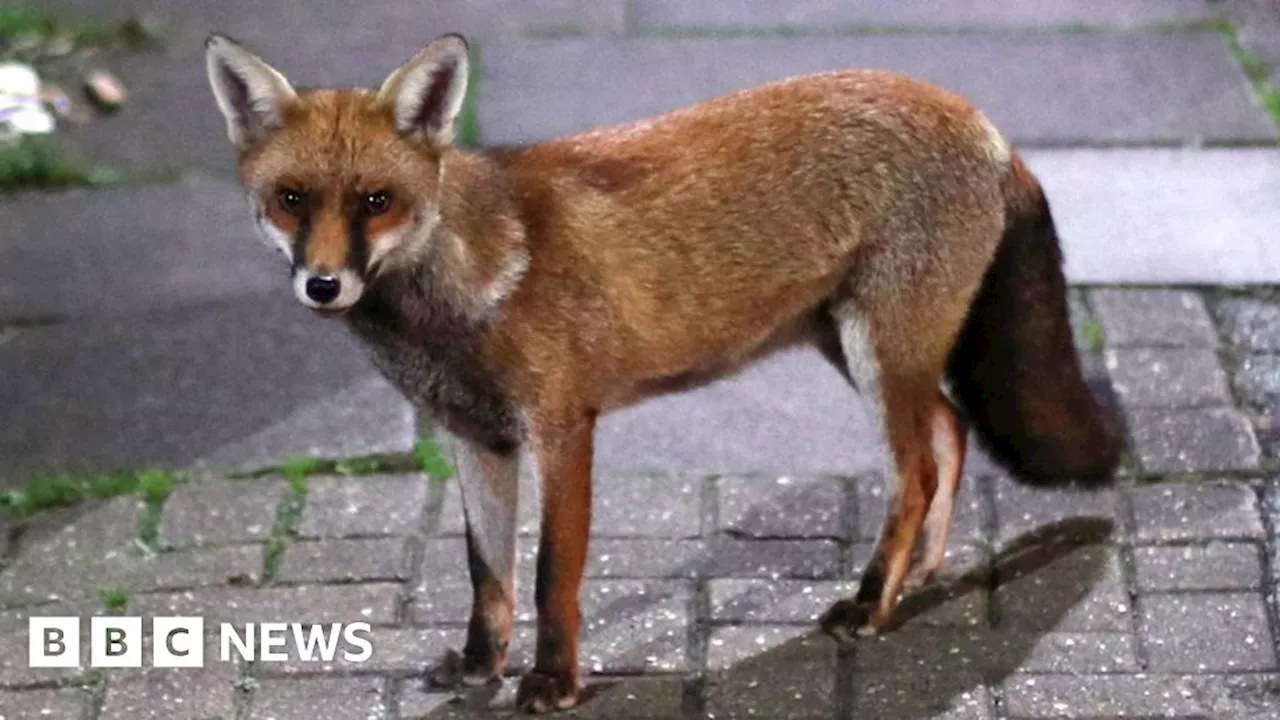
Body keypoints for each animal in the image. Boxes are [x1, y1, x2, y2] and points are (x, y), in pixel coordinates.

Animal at [199, 30, 1121, 707]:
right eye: (291, 199)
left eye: (376, 202)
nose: (324, 284)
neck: (463, 293)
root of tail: (980, 119)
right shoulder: (477, 439)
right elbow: (487, 574)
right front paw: (479, 668)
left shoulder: (562, 428)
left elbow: (550, 574)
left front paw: (552, 684)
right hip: (860, 351)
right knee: (950, 431)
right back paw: (920, 578)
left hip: (877, 353)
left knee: (917, 471)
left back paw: (871, 602)